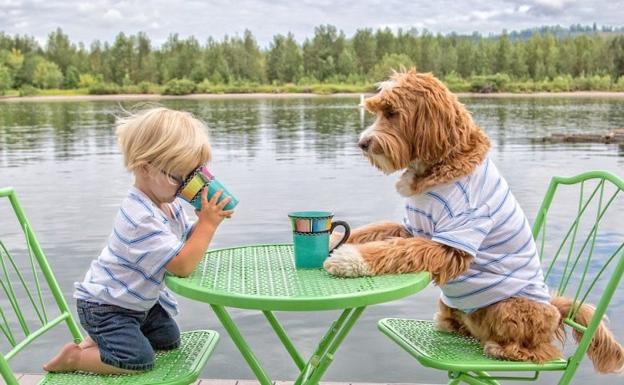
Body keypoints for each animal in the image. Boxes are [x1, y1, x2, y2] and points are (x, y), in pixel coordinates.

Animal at [324, 70, 620, 372]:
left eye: (392, 113)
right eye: (377, 112)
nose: (362, 143)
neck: (441, 164)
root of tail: (556, 311)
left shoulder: (452, 241)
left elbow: (396, 249)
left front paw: (349, 259)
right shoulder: (411, 227)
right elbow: (375, 231)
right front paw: (335, 238)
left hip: (510, 308)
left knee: (542, 351)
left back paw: (503, 349)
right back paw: (451, 324)